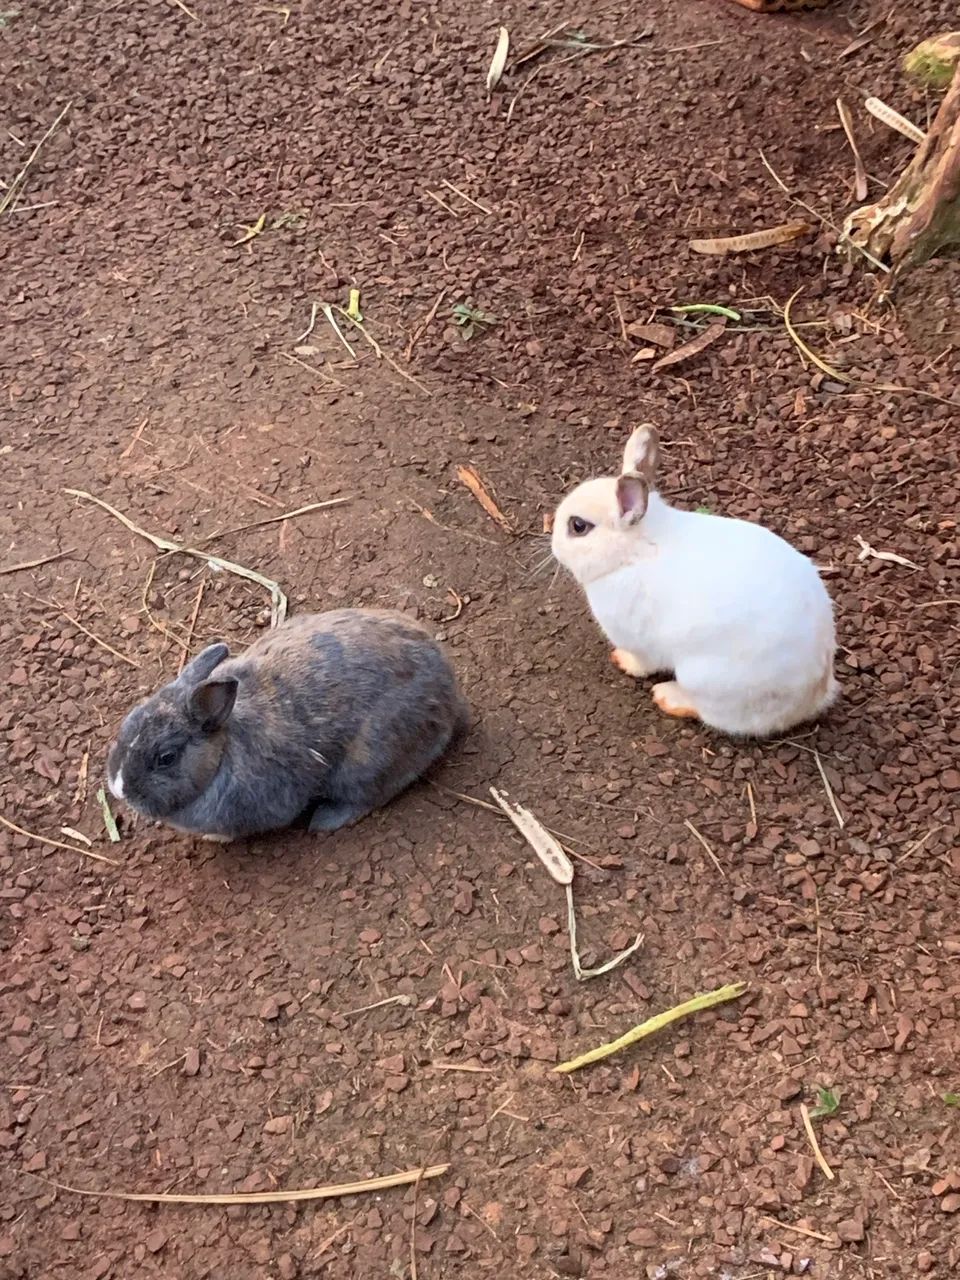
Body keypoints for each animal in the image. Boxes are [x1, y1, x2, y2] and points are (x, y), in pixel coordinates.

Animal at [106, 609, 469, 841]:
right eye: (129, 722)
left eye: (166, 758)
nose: (119, 789)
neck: (223, 752)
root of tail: (448, 694)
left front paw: (213, 837)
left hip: (367, 762)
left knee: (370, 795)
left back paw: (325, 821)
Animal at [551, 425, 837, 737]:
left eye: (578, 526)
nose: (552, 546)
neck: (635, 552)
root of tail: (814, 695)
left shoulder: (636, 640)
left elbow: (642, 663)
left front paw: (622, 661)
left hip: (705, 680)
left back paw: (667, 697)